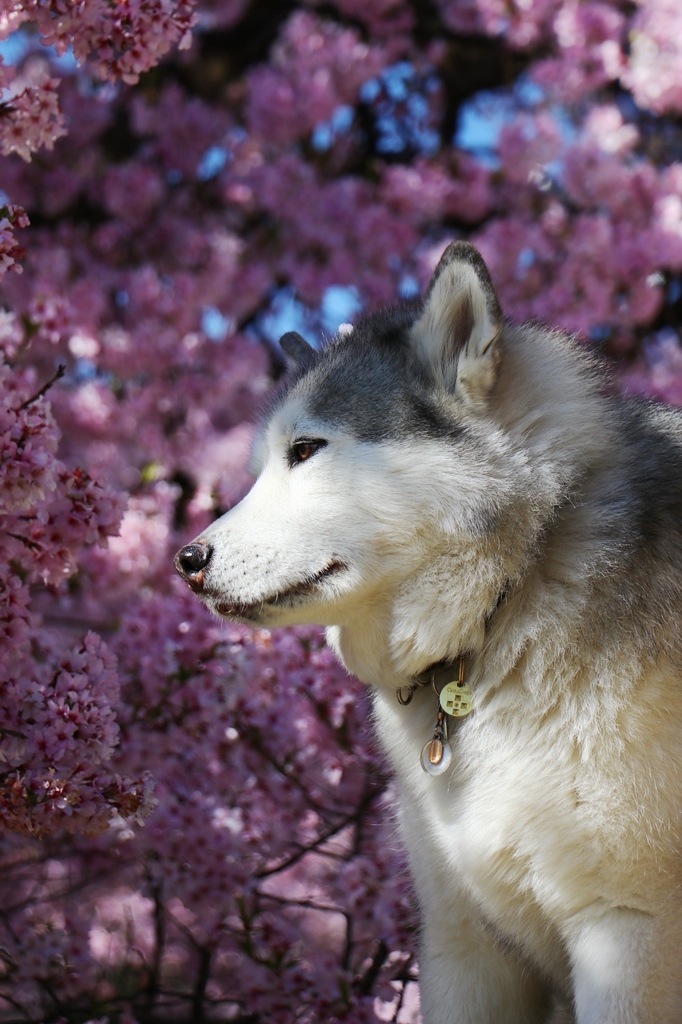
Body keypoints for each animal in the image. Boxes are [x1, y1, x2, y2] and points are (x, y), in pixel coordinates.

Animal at [174, 243, 679, 1019]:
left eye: (306, 449)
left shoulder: (626, 933)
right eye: (261, 467)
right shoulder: (465, 949)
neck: (510, 597)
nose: (187, 560)